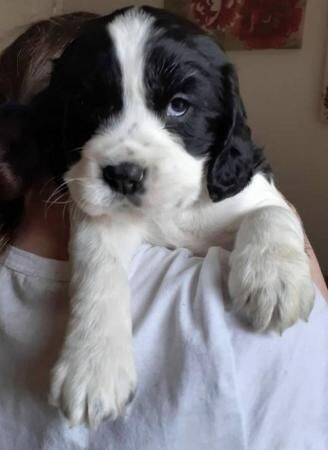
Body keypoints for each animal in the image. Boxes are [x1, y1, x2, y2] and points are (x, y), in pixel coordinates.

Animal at [27, 6, 312, 428]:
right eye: (91, 105)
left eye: (179, 105)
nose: (123, 175)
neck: (174, 210)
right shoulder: (99, 218)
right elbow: (97, 266)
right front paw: (91, 368)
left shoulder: (249, 182)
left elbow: (272, 212)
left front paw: (273, 281)